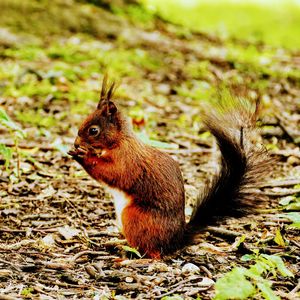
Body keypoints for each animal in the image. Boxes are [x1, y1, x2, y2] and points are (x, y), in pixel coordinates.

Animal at [69, 74, 274, 258]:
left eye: (93, 130)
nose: (76, 142)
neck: (119, 140)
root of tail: (175, 241)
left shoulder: (127, 159)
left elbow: (113, 172)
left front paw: (82, 155)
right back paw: (118, 243)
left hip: (134, 217)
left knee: (153, 254)